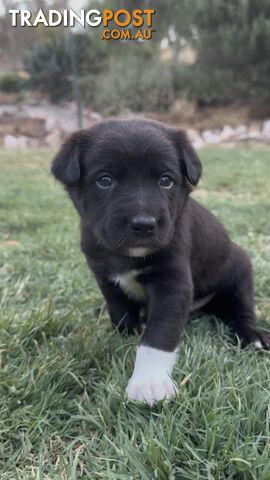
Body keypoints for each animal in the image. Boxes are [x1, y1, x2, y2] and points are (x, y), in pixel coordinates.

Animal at [51, 119, 270, 404]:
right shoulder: (106, 278)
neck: (129, 255)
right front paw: (126, 335)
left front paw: (149, 381)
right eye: (105, 180)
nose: (144, 224)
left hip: (239, 268)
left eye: (166, 180)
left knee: (242, 310)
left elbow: (159, 335)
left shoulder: (172, 283)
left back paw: (253, 336)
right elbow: (120, 312)